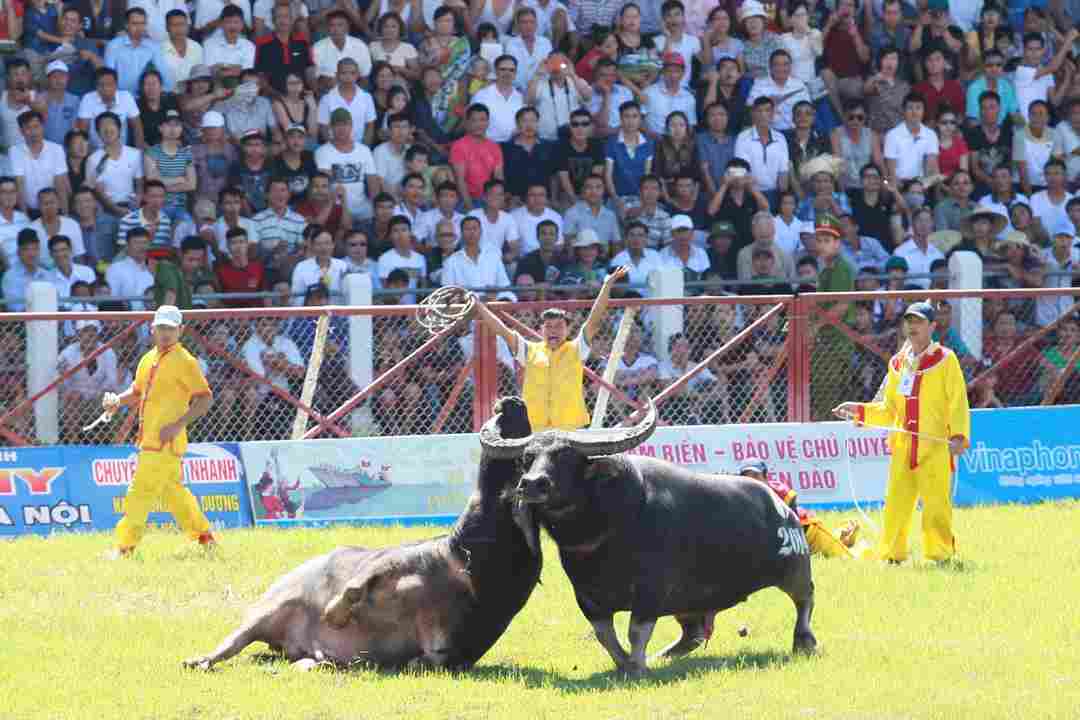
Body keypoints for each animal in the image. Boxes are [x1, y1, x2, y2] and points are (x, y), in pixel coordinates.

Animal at [183, 397, 548, 673]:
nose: (512, 401)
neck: (470, 565)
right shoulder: (393, 561)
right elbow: (357, 585)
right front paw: (333, 612)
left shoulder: (449, 653)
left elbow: (423, 659)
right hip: (265, 612)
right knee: (231, 644)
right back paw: (199, 660)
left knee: (301, 659)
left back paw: (308, 663)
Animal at [477, 403, 812, 677]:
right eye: (527, 458)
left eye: (567, 457)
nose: (533, 484)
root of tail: (782, 505)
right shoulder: (588, 598)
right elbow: (606, 636)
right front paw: (625, 664)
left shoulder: (651, 591)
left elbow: (636, 632)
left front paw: (637, 666)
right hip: (690, 602)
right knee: (693, 634)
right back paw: (663, 656)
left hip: (795, 569)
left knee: (804, 600)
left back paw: (804, 641)